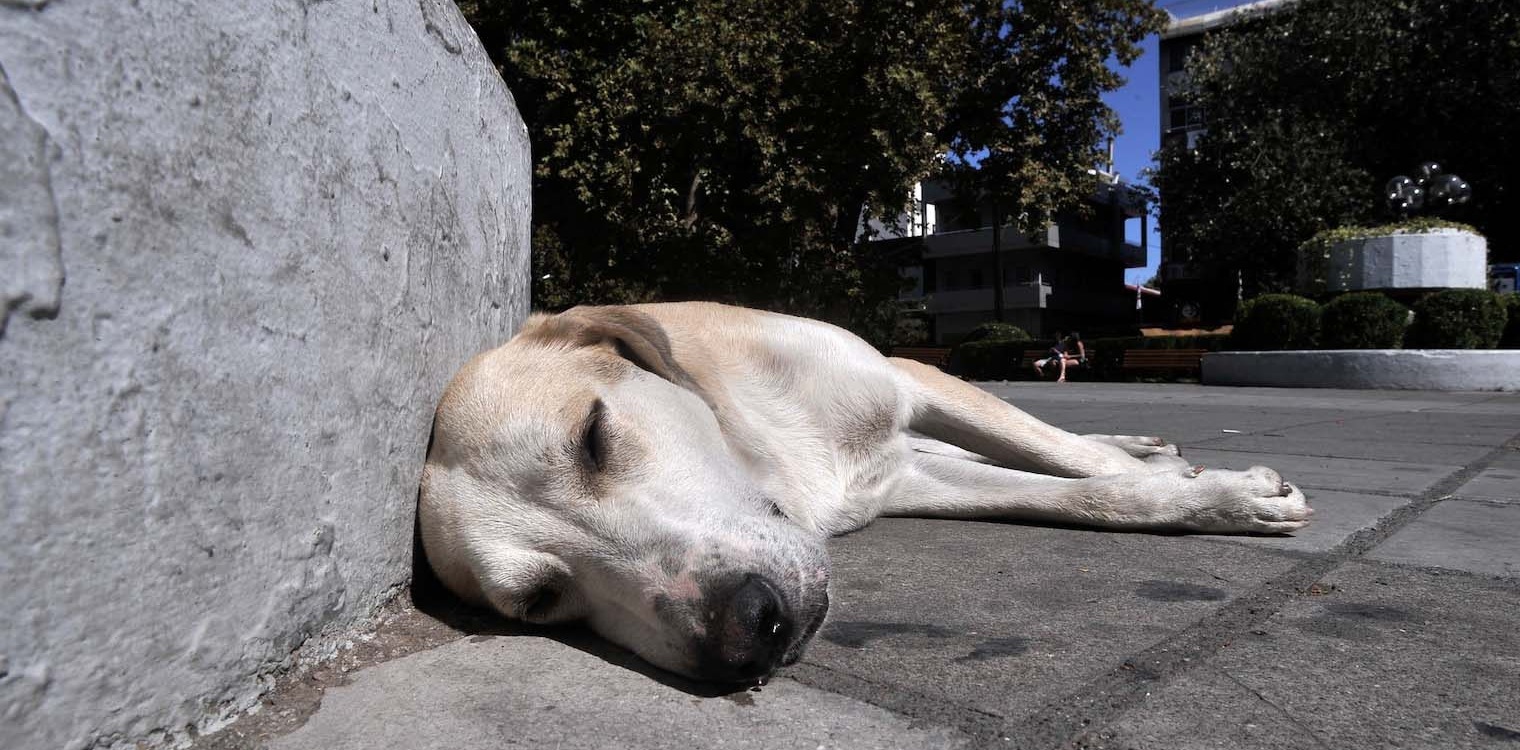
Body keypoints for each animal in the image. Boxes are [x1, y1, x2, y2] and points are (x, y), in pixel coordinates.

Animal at [422, 304, 1313, 684]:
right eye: (540, 601)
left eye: (594, 437)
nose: (749, 632)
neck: (773, 460)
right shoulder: (909, 480)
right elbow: (1071, 492)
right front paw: (1191, 494)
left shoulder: (908, 377)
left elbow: (1067, 460)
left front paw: (1221, 491)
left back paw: (1147, 448)